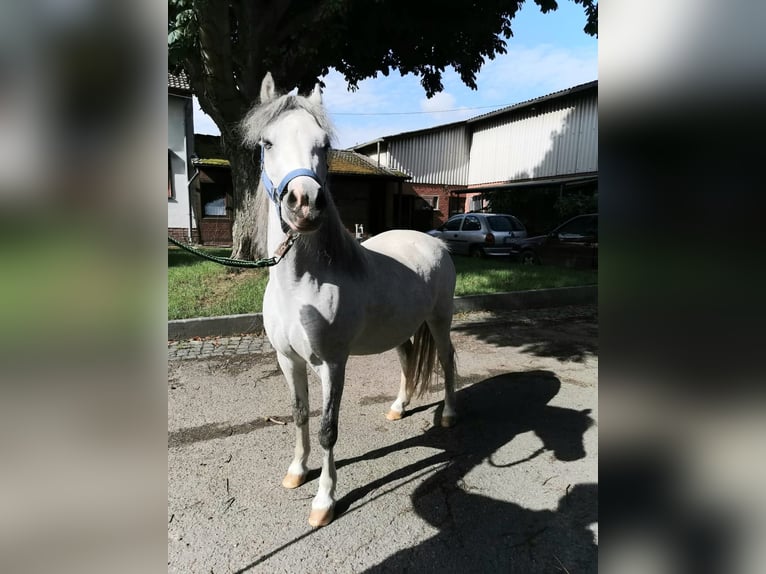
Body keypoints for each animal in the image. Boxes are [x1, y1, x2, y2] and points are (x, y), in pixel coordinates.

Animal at [243, 74, 456, 528]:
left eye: (323, 144)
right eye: (267, 143)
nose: (304, 203)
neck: (302, 282)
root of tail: (435, 242)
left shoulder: (332, 364)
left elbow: (328, 429)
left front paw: (324, 501)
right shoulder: (288, 360)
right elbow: (300, 414)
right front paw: (296, 472)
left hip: (439, 320)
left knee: (447, 361)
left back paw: (448, 414)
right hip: (403, 328)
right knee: (408, 359)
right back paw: (398, 407)